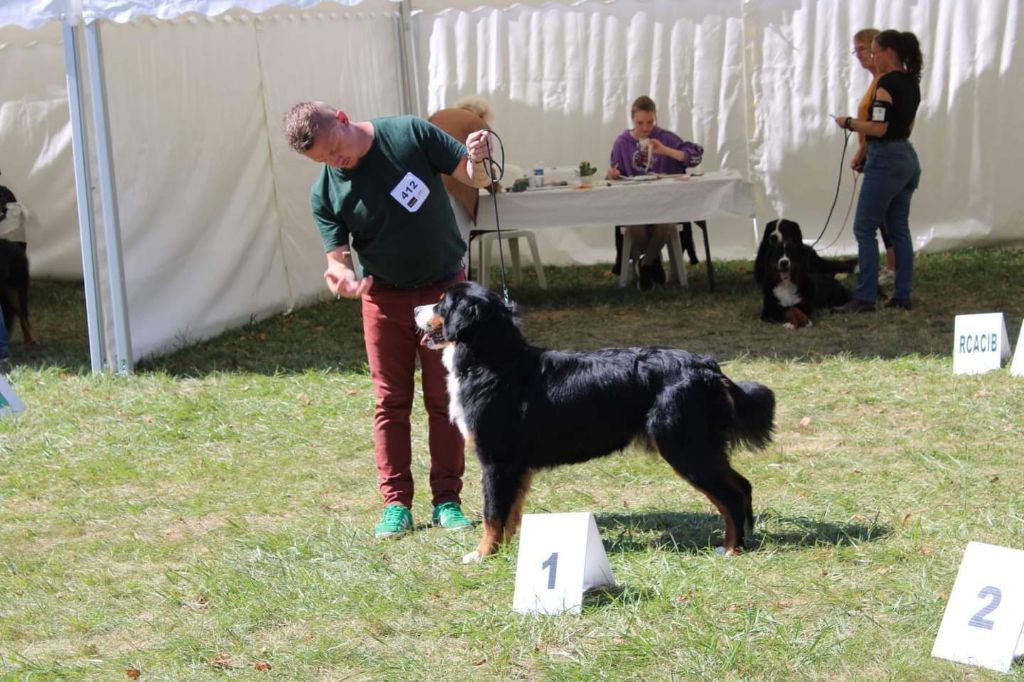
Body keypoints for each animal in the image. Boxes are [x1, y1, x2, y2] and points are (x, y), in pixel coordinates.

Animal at [414, 281, 775, 563]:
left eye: (442, 302)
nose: (415, 308)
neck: (495, 362)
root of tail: (705, 365)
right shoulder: (516, 466)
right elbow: (510, 514)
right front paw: (506, 551)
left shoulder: (496, 461)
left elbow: (492, 515)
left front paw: (482, 554)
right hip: (700, 446)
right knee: (741, 486)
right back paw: (743, 541)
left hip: (685, 447)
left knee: (730, 495)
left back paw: (731, 549)